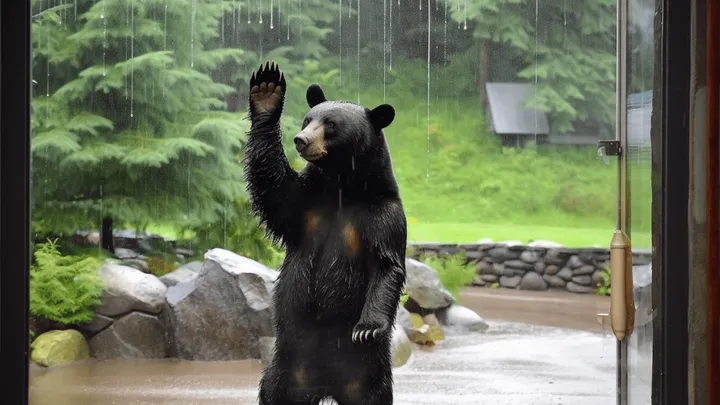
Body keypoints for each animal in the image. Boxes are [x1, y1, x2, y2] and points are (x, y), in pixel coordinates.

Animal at [243, 61, 408, 405]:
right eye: (309, 119)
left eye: (331, 124)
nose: (300, 139)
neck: (341, 187)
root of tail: (327, 385)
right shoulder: (308, 204)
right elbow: (274, 190)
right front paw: (267, 89)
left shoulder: (382, 215)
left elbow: (386, 264)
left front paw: (367, 328)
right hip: (287, 366)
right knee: (274, 392)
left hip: (367, 373)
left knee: (373, 396)